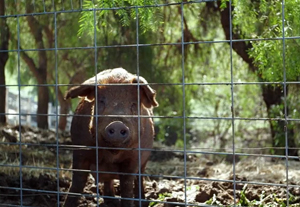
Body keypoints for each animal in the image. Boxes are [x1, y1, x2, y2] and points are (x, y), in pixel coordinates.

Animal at [62, 68, 158, 207]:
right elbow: (77, 183)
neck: (110, 155)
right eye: (101, 101)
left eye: (133, 104)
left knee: (139, 178)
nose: (117, 123)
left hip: (144, 161)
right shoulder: (80, 149)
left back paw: (142, 201)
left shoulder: (134, 157)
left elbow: (127, 187)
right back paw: (111, 201)